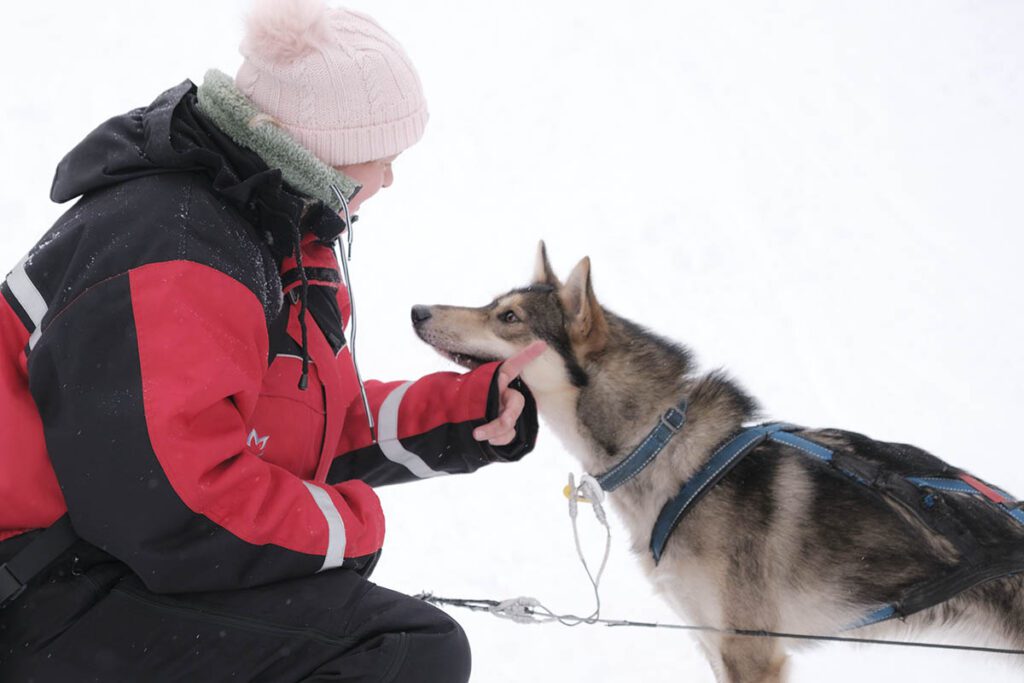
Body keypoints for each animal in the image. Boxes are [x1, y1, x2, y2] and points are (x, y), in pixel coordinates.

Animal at [409, 242, 1024, 679]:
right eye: (494, 305)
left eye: (509, 318)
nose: (416, 309)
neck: (664, 447)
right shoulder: (710, 640)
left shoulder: (749, 651)